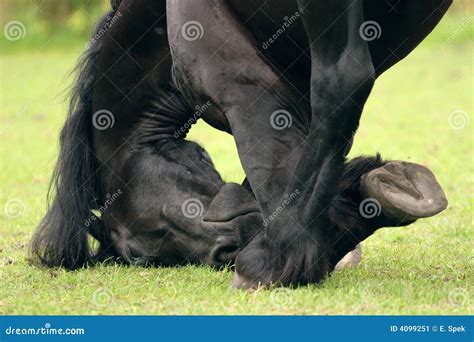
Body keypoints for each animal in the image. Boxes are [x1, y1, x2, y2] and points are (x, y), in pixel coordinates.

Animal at [31, 0, 450, 288]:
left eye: (136, 253)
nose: (226, 254)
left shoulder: (242, 84)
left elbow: (273, 164)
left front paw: (282, 258)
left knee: (342, 81)